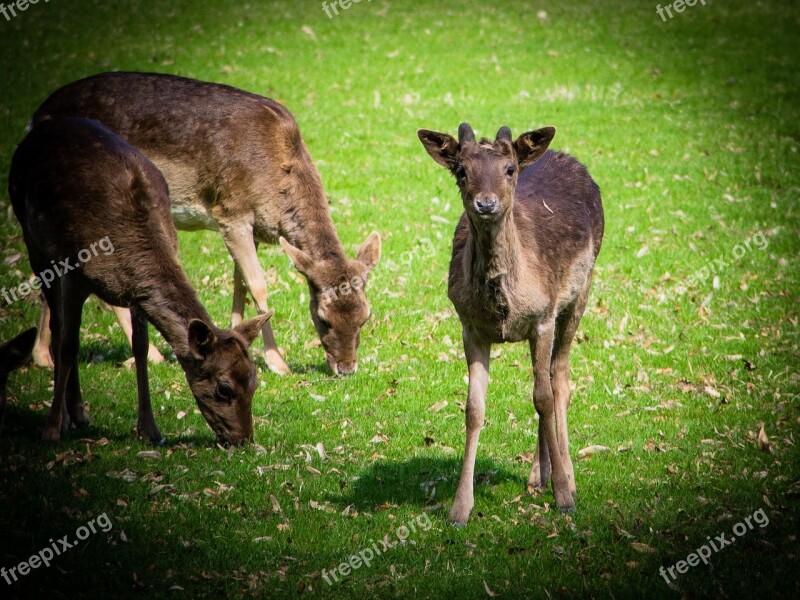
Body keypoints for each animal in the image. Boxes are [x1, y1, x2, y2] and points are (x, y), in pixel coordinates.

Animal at [9, 118, 270, 446]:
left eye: (254, 381)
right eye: (224, 388)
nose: (244, 438)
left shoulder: (137, 294)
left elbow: (141, 348)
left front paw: (149, 429)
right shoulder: (71, 273)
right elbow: (69, 345)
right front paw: (52, 427)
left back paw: (80, 413)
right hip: (34, 243)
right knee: (59, 327)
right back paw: (68, 416)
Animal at [31, 72, 382, 378]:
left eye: (366, 316)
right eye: (323, 319)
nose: (346, 368)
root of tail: (36, 116)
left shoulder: (250, 227)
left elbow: (240, 283)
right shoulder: (231, 211)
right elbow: (259, 285)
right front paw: (278, 363)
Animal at [422, 123, 604, 524]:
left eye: (509, 169)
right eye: (462, 171)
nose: (486, 203)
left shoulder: (543, 318)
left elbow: (544, 397)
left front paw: (564, 497)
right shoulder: (469, 326)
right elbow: (474, 409)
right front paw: (459, 508)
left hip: (580, 291)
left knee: (559, 377)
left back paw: (566, 476)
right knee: (547, 379)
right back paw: (539, 474)